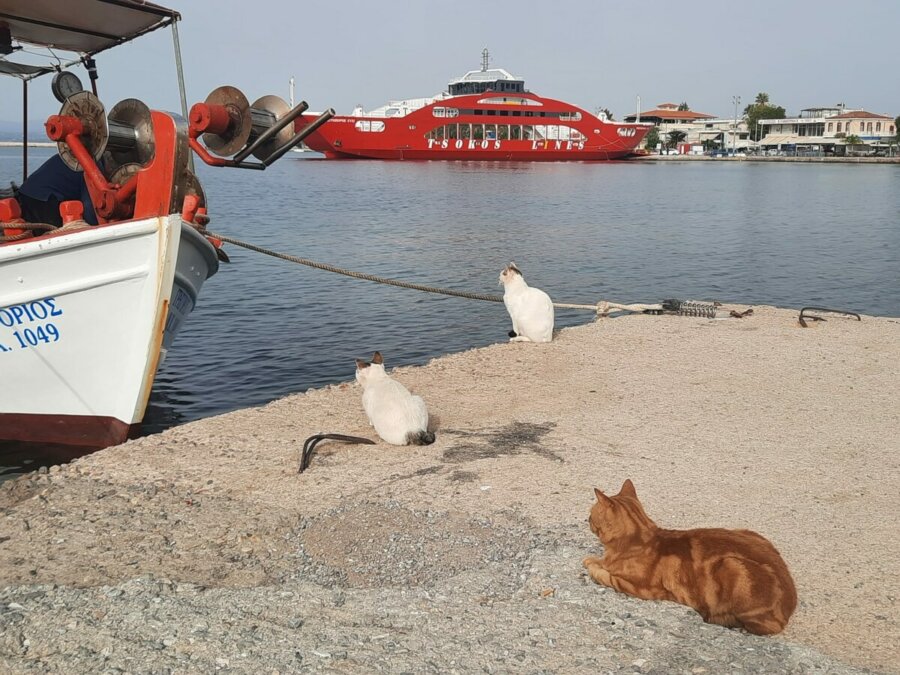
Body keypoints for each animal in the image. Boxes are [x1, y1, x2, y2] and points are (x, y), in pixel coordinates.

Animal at [588, 480, 800, 632]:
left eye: (590, 514)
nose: (586, 519)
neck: (640, 536)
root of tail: (790, 604)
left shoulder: (637, 587)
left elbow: (599, 570)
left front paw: (592, 563)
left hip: (732, 566)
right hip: (750, 533)